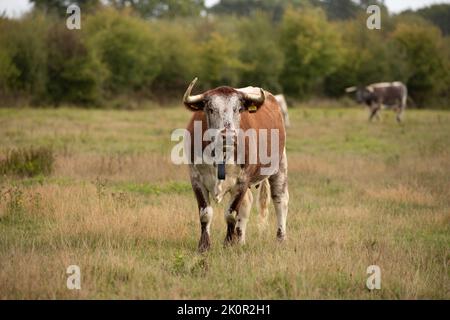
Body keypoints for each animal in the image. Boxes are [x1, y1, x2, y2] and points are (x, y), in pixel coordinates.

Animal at [183, 78, 288, 252]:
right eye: (210, 109)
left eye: (239, 109)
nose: (228, 135)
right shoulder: (196, 178)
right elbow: (205, 213)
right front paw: (204, 245)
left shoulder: (242, 180)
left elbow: (231, 214)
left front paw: (228, 243)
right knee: (247, 204)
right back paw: (240, 240)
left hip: (279, 165)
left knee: (280, 199)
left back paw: (281, 239)